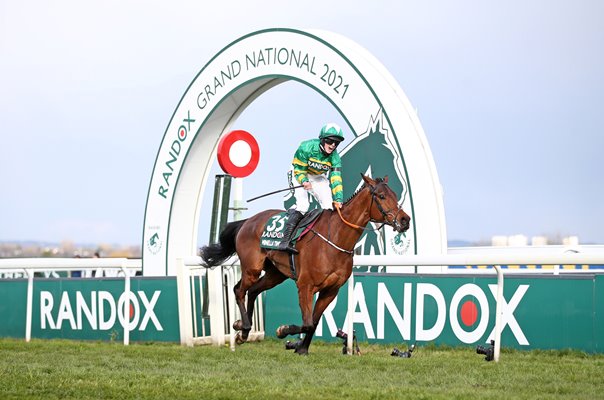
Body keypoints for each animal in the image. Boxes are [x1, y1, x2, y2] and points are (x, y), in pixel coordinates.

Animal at [201, 173, 408, 354]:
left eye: (396, 195)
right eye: (381, 196)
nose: (405, 220)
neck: (335, 239)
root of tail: (247, 221)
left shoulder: (330, 291)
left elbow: (313, 323)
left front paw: (301, 348)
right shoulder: (305, 286)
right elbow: (307, 322)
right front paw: (283, 331)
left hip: (275, 274)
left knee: (252, 291)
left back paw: (242, 330)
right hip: (252, 268)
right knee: (239, 290)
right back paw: (243, 327)